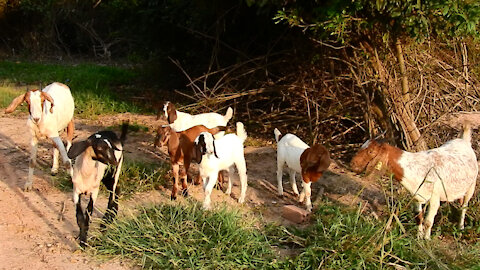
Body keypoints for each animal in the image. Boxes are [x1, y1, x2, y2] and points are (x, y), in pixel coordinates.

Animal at [350, 123, 478, 239]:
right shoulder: (416, 196)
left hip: (471, 186)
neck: (415, 167)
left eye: (371, 151)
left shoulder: (434, 198)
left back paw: (461, 228)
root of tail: (464, 140)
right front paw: (418, 237)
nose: (352, 164)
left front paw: (427, 239)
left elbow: (428, 222)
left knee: (465, 205)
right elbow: (418, 218)